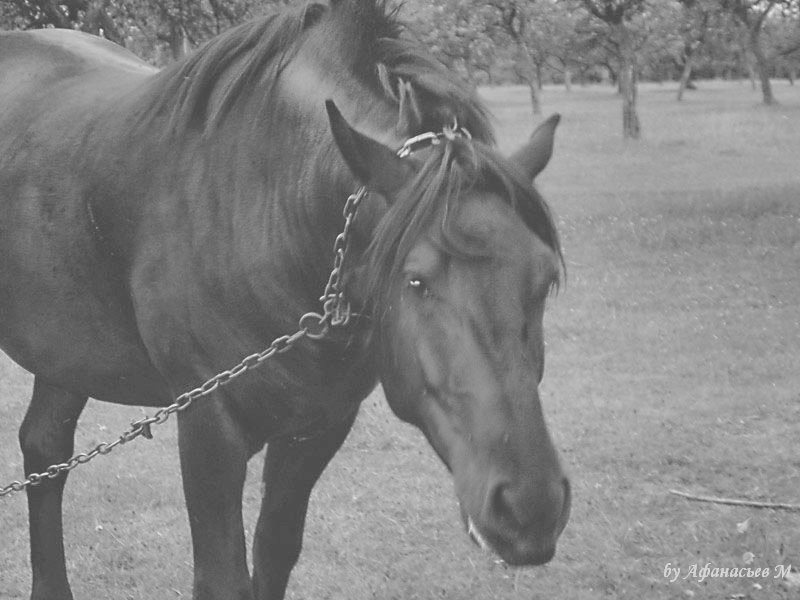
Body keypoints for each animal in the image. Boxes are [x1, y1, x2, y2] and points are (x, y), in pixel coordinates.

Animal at [0, 1, 570, 598]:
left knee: (45, 449)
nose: (530, 508)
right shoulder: (209, 426)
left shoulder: (316, 427)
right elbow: (222, 576)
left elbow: (274, 553)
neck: (266, 207)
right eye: (416, 281)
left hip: (65, 349)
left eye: (544, 279)